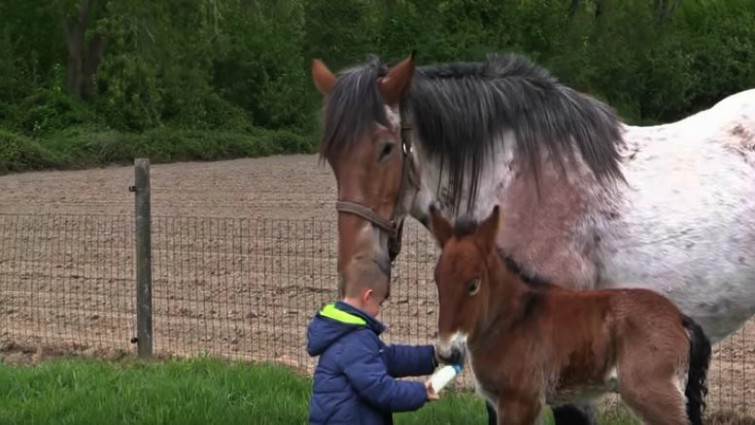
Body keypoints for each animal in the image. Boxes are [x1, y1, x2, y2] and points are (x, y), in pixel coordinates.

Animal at [428, 204, 712, 422]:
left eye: (473, 284)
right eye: (437, 279)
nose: (446, 352)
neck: (514, 319)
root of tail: (679, 317)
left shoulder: (519, 400)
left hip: (653, 394)